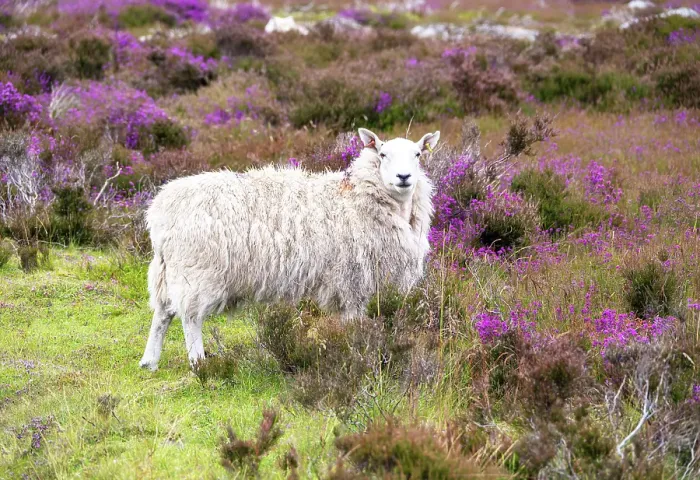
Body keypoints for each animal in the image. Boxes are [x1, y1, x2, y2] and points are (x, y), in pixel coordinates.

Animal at [138, 128, 440, 371]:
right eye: (383, 153)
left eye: (417, 154)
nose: (404, 177)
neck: (360, 195)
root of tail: (160, 212)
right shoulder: (354, 281)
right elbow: (355, 323)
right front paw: (358, 354)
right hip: (196, 272)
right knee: (190, 319)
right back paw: (199, 364)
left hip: (167, 270)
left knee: (162, 313)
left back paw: (149, 361)